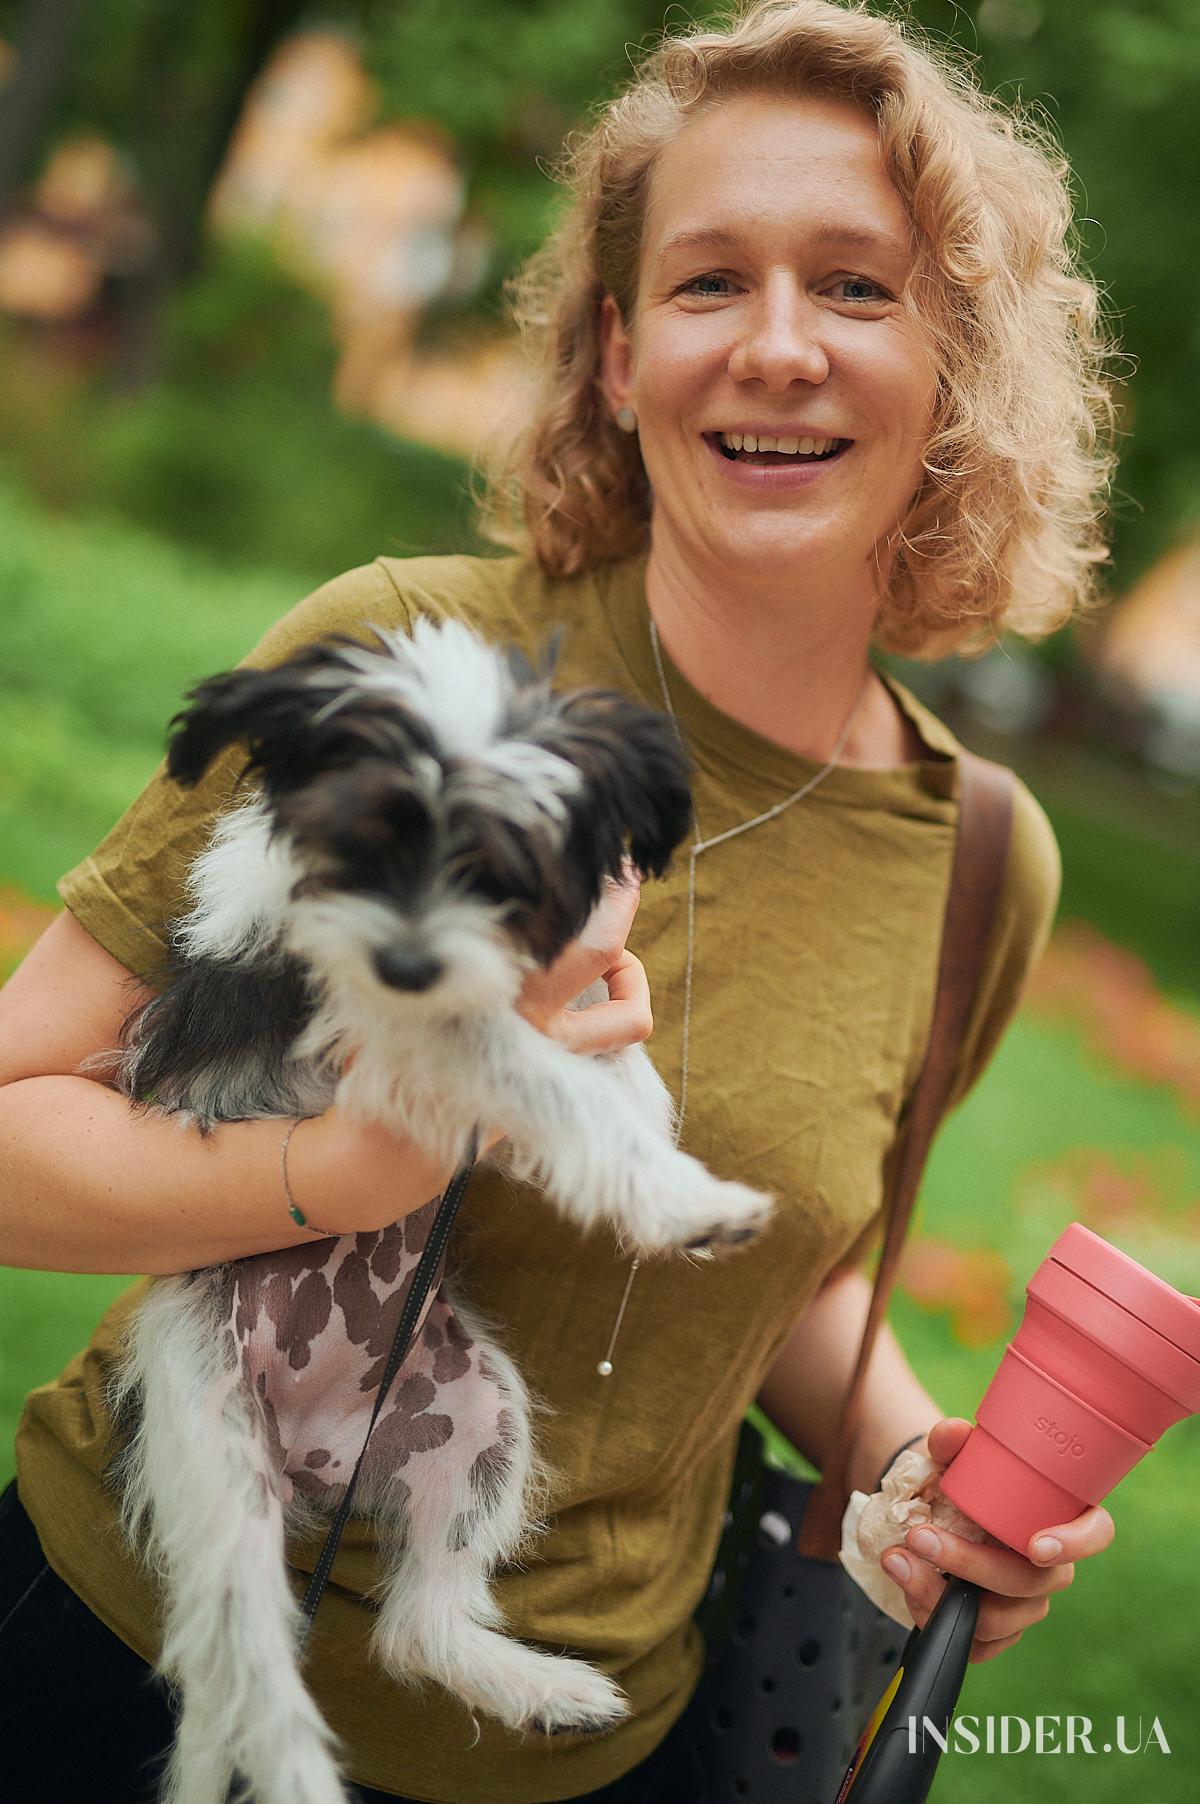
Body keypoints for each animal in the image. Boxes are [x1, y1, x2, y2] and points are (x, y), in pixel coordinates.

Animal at [107, 609, 772, 1804]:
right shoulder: (390, 1020)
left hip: (479, 1429)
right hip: (219, 1461)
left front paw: (655, 1150)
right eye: (362, 839)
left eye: (501, 869)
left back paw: (538, 1688)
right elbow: (540, 1071)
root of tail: (320, 1460)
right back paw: (306, 1775)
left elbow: (615, 1049)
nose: (410, 961)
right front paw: (674, 1196)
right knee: (254, 1672)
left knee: (416, 1628)